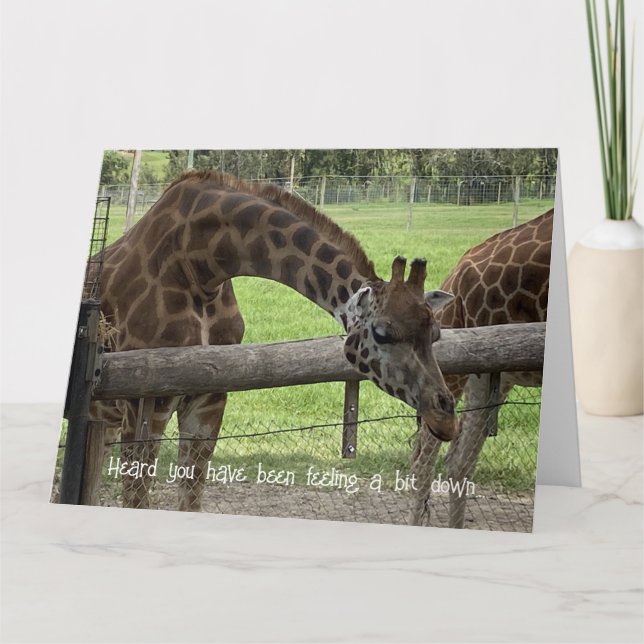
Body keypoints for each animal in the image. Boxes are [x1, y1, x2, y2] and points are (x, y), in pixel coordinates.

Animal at [91, 170, 459, 511]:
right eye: (382, 333)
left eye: (436, 334)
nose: (446, 419)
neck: (200, 267)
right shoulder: (142, 404)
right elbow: (136, 501)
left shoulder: (210, 399)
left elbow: (190, 501)